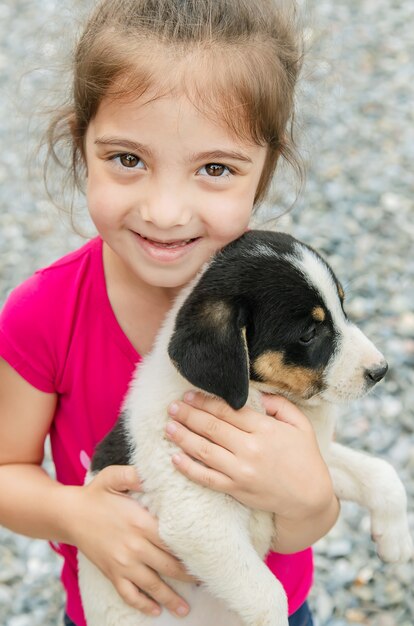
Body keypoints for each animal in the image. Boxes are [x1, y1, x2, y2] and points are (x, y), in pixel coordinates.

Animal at [77, 230, 410, 624]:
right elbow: (268, 595)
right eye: (309, 333)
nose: (381, 370)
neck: (255, 397)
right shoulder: (198, 520)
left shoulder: (312, 460)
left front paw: (394, 539)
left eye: (342, 306)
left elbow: (380, 471)